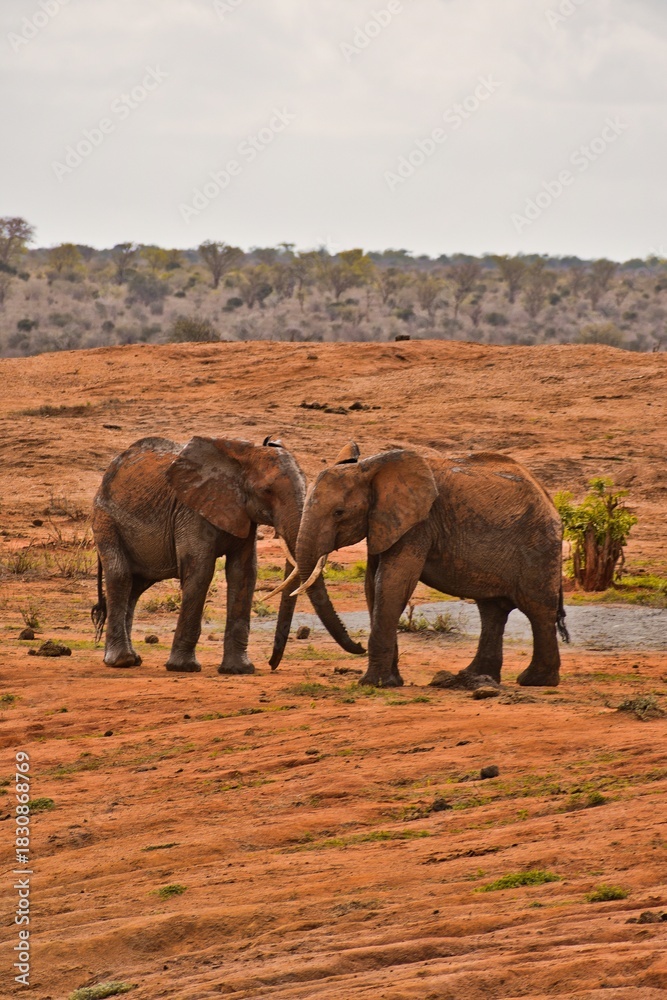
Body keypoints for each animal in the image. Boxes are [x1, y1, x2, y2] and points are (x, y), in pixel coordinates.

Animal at [91, 435, 363, 674]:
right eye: (267, 491)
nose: (272, 663)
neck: (243, 456)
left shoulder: (243, 514)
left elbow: (244, 573)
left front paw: (239, 670)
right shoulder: (191, 509)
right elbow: (201, 571)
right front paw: (184, 667)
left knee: (136, 587)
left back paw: (130, 659)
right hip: (105, 519)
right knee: (121, 577)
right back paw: (122, 661)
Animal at [294, 444, 569, 688]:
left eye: (339, 512)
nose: (358, 646)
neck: (369, 467)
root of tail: (550, 500)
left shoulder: (419, 523)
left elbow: (393, 582)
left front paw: (374, 684)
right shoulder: (383, 523)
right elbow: (372, 586)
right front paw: (391, 682)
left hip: (538, 545)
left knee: (537, 609)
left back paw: (535, 681)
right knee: (492, 610)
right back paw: (475, 677)